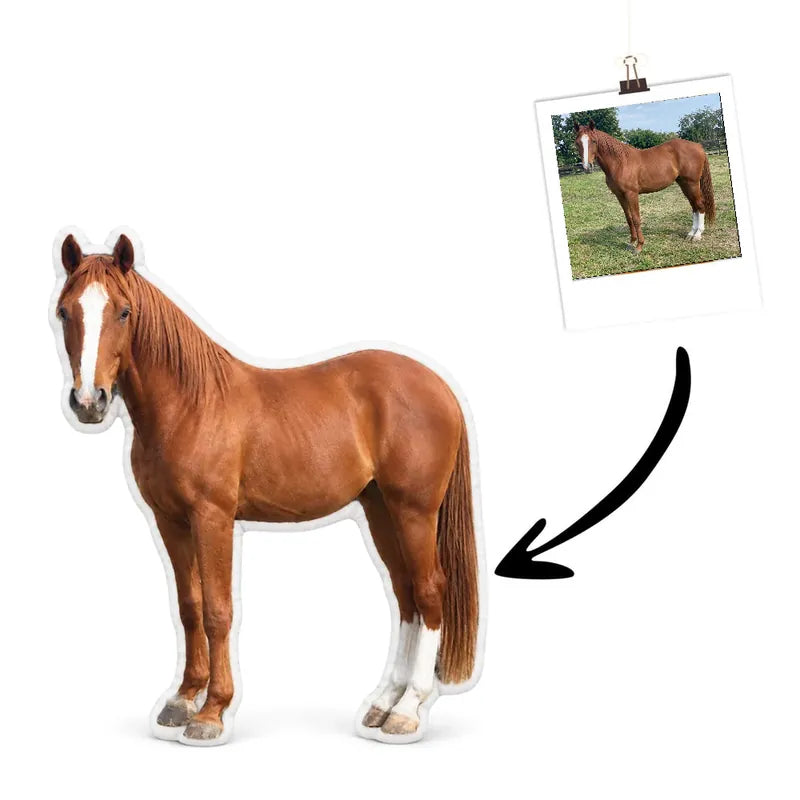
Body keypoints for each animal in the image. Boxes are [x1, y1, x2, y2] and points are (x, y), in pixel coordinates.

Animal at [52, 229, 483, 746]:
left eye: (123, 311)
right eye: (64, 311)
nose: (88, 401)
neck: (190, 402)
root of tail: (439, 386)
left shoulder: (213, 518)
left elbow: (218, 612)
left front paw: (212, 712)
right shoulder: (170, 521)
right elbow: (189, 607)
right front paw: (181, 700)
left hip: (414, 511)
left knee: (430, 590)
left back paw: (408, 710)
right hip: (380, 509)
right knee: (405, 595)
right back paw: (382, 703)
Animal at [573, 120, 716, 253]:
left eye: (593, 141)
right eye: (577, 143)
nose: (587, 167)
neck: (620, 163)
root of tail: (698, 146)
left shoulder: (631, 194)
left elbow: (636, 218)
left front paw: (639, 246)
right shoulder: (620, 195)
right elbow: (628, 218)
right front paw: (631, 242)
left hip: (692, 183)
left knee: (700, 205)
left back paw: (697, 235)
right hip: (684, 184)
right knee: (694, 206)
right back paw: (691, 233)